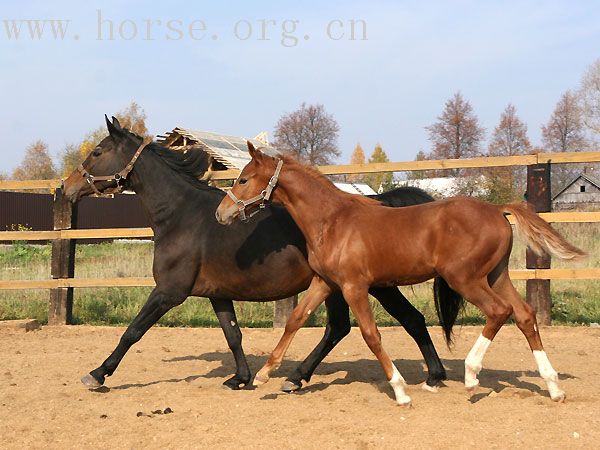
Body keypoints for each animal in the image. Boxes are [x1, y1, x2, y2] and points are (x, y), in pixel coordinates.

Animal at [62, 115, 454, 390]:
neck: (181, 215)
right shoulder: (217, 294)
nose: (66, 187)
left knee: (399, 321)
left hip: (370, 286)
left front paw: (97, 374)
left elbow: (133, 331)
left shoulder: (169, 291)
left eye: (97, 152)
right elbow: (232, 333)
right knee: (350, 326)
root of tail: (380, 204)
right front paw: (241, 377)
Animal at [217, 143, 584, 404]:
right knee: (524, 314)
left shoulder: (353, 286)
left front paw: (400, 390)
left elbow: (370, 335)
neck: (332, 220)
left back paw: (470, 376)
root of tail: (497, 209)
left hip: (465, 279)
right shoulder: (325, 283)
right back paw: (553, 387)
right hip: (496, 275)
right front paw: (265, 375)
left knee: (499, 311)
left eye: (244, 179)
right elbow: (295, 320)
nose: (222, 213)